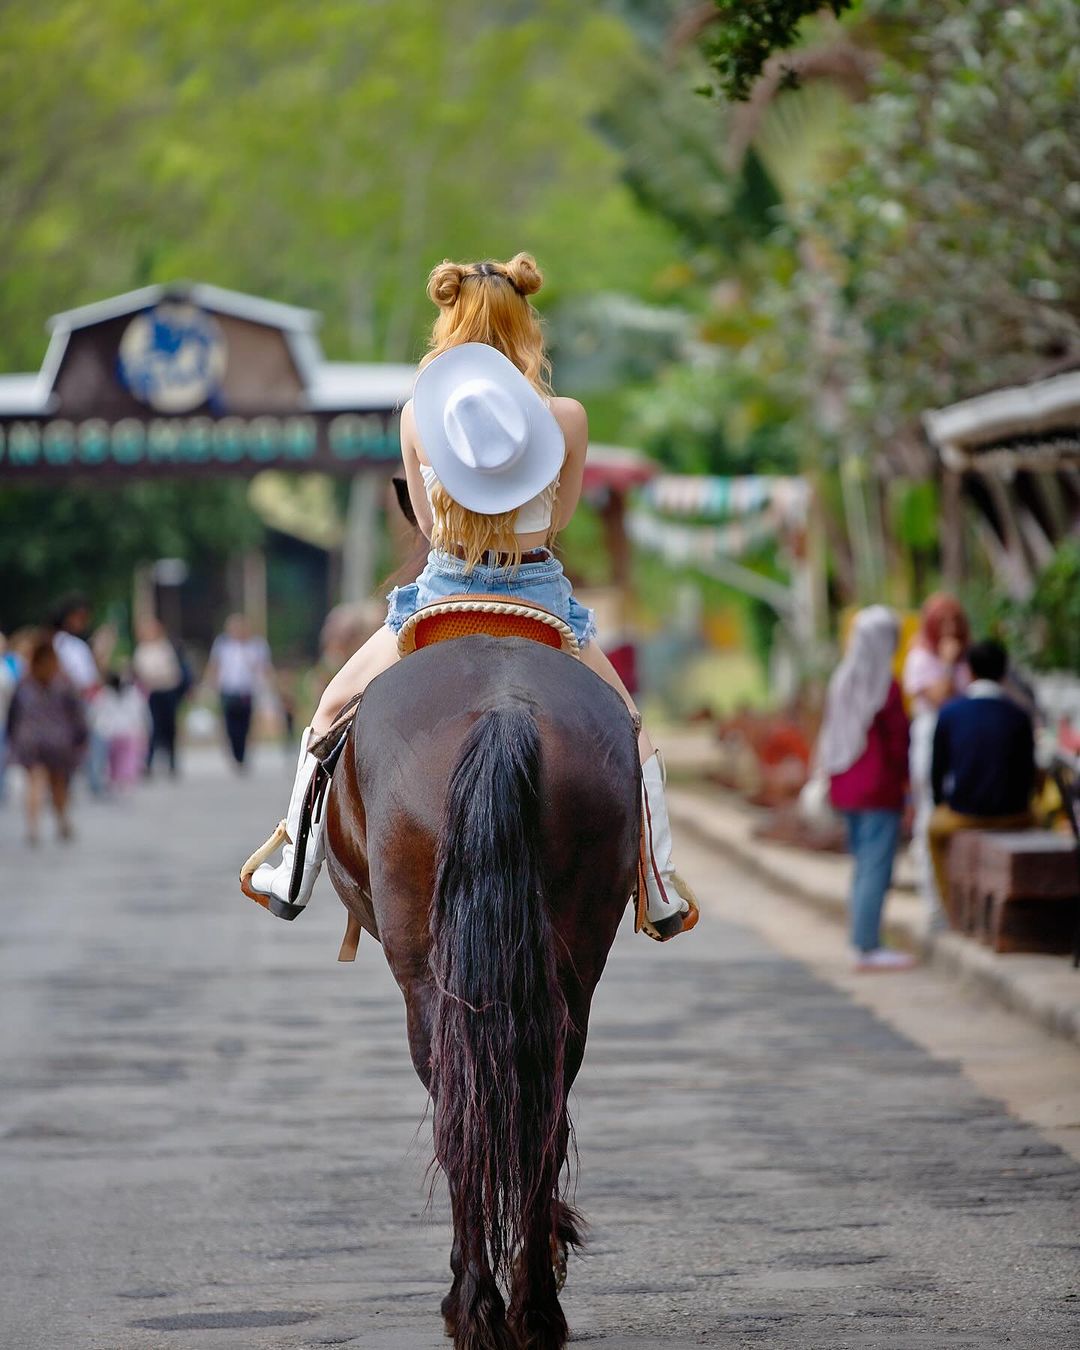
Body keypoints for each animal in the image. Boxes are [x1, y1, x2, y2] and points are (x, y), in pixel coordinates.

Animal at [325, 634, 637, 1350]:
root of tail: (504, 710)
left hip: (426, 979)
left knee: (458, 1113)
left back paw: (475, 1307)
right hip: (572, 971)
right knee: (540, 1108)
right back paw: (535, 1309)